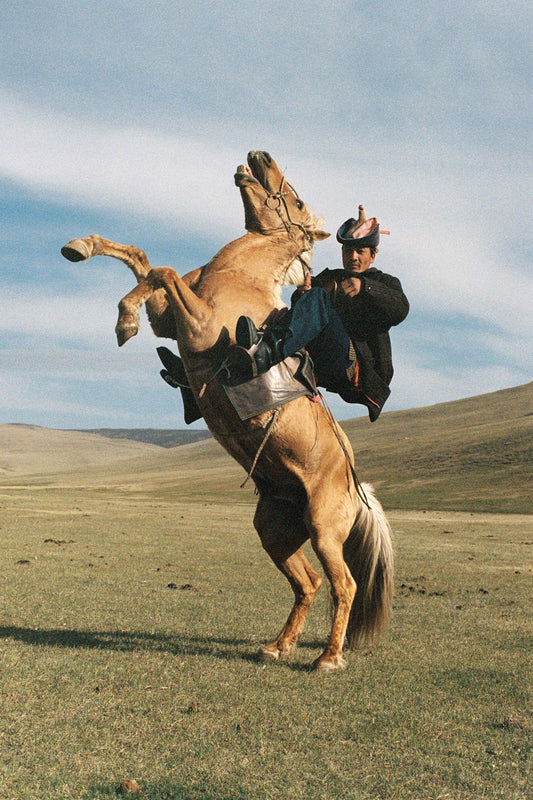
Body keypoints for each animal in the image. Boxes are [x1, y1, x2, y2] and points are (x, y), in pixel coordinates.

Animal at [61, 151, 393, 672]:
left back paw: (328, 658)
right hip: (275, 530)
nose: (258, 156)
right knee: (309, 583)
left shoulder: (197, 324)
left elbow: (163, 271)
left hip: (324, 529)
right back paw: (277, 646)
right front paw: (83, 252)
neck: (238, 277)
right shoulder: (170, 319)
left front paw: (124, 322)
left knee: (344, 584)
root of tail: (355, 484)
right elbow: (143, 261)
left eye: (297, 200)